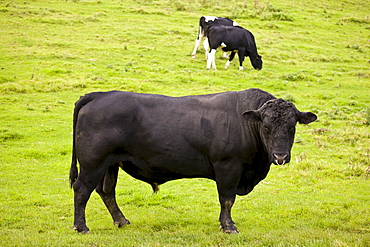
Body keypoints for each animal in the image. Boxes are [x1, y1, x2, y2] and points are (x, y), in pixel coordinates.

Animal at [70, 88, 318, 233]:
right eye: (266, 127)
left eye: (292, 127)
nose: (280, 156)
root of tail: (100, 94)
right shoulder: (228, 167)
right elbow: (227, 199)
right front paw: (228, 226)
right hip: (93, 163)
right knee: (82, 190)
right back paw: (81, 227)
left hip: (110, 164)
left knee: (106, 191)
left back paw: (121, 221)